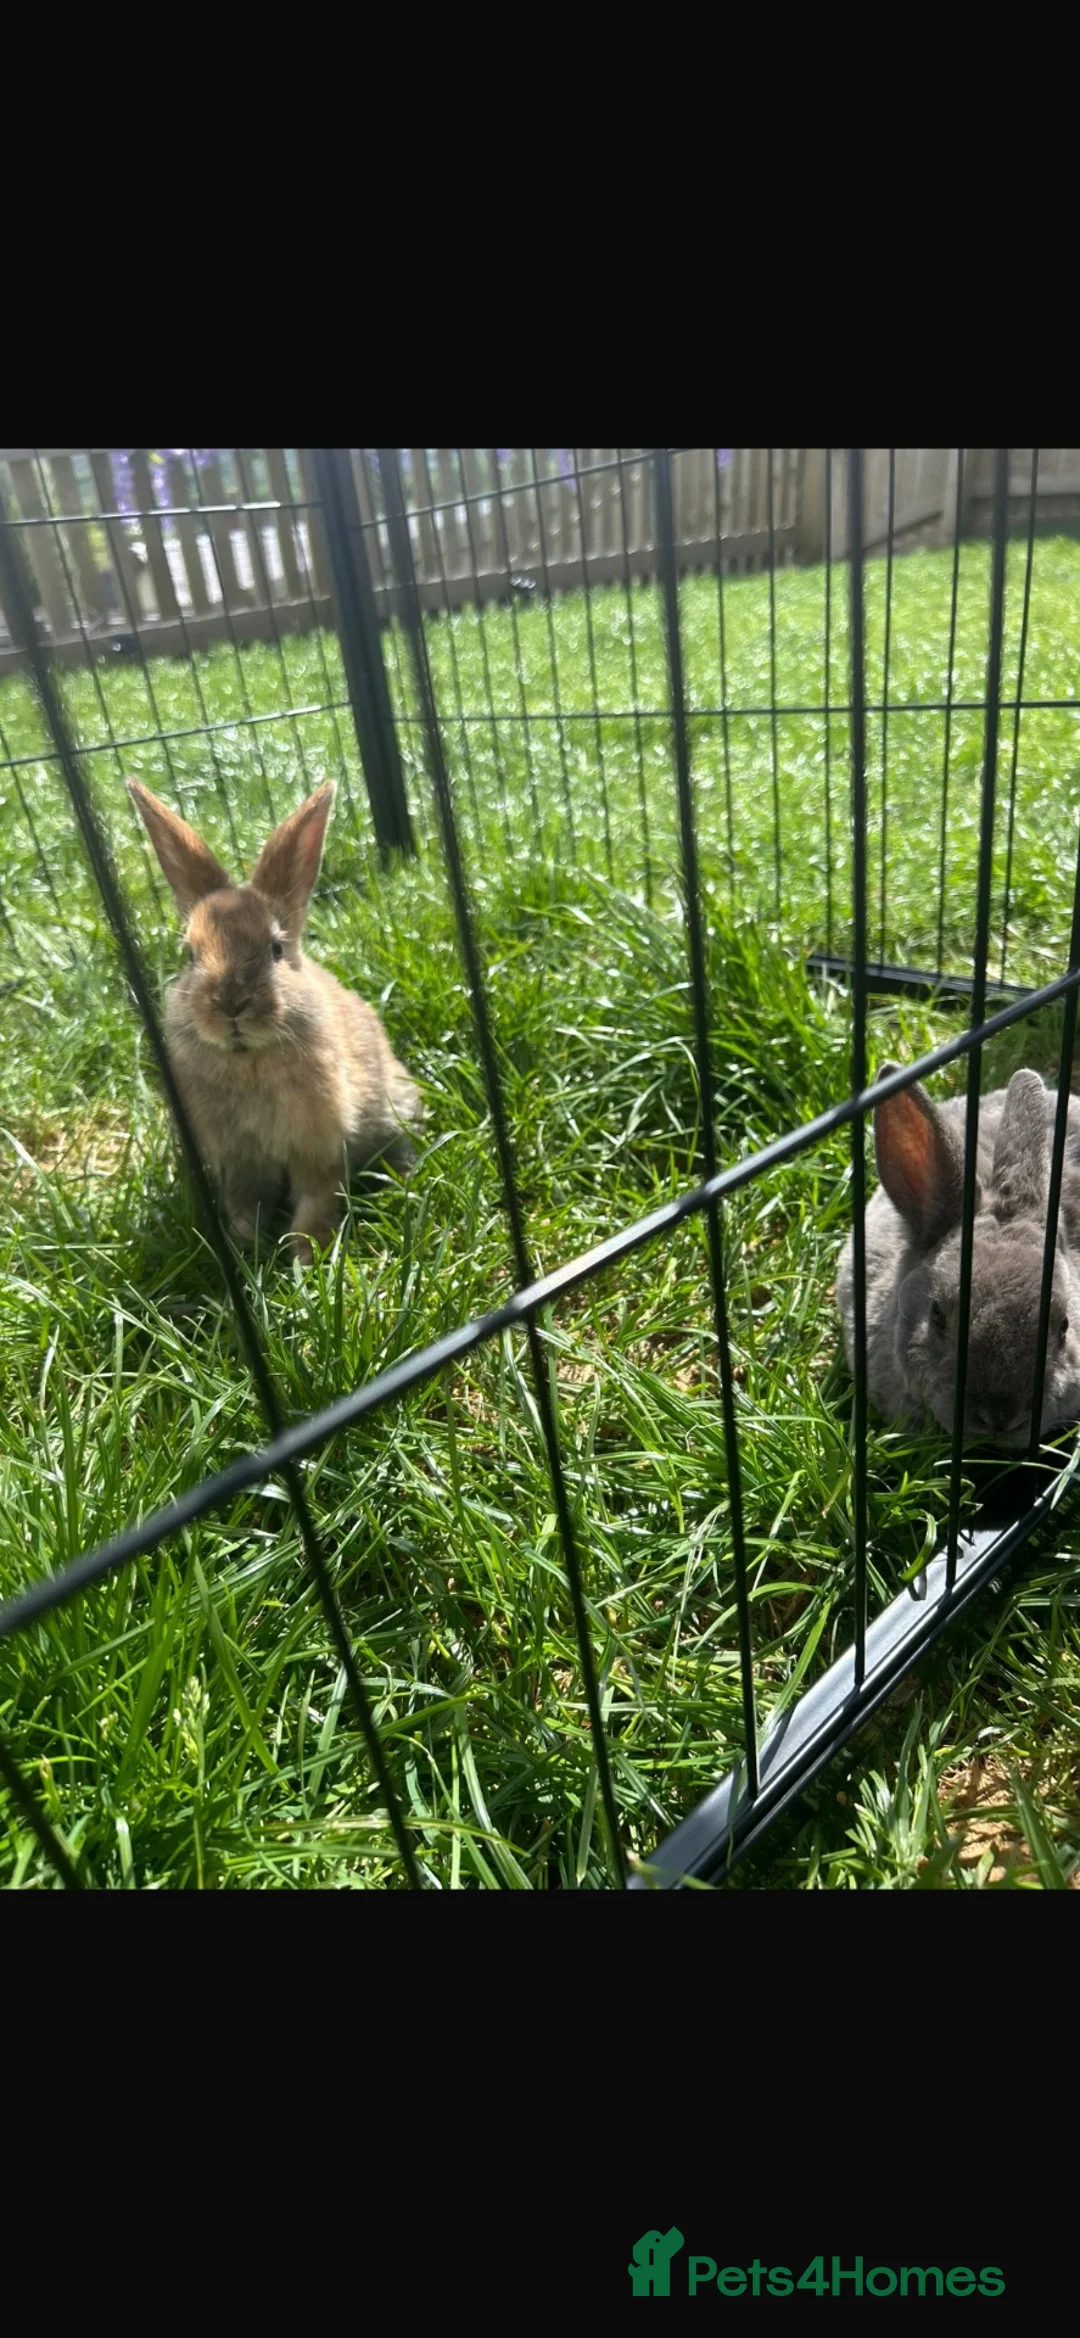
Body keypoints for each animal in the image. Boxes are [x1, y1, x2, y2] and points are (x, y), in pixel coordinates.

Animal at [127, 776, 422, 1263]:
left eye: (276, 949)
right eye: (189, 955)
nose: (231, 1004)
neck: (248, 1058)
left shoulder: (317, 1149)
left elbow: (315, 1202)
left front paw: (308, 1257)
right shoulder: (238, 1163)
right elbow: (243, 1210)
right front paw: (245, 1254)